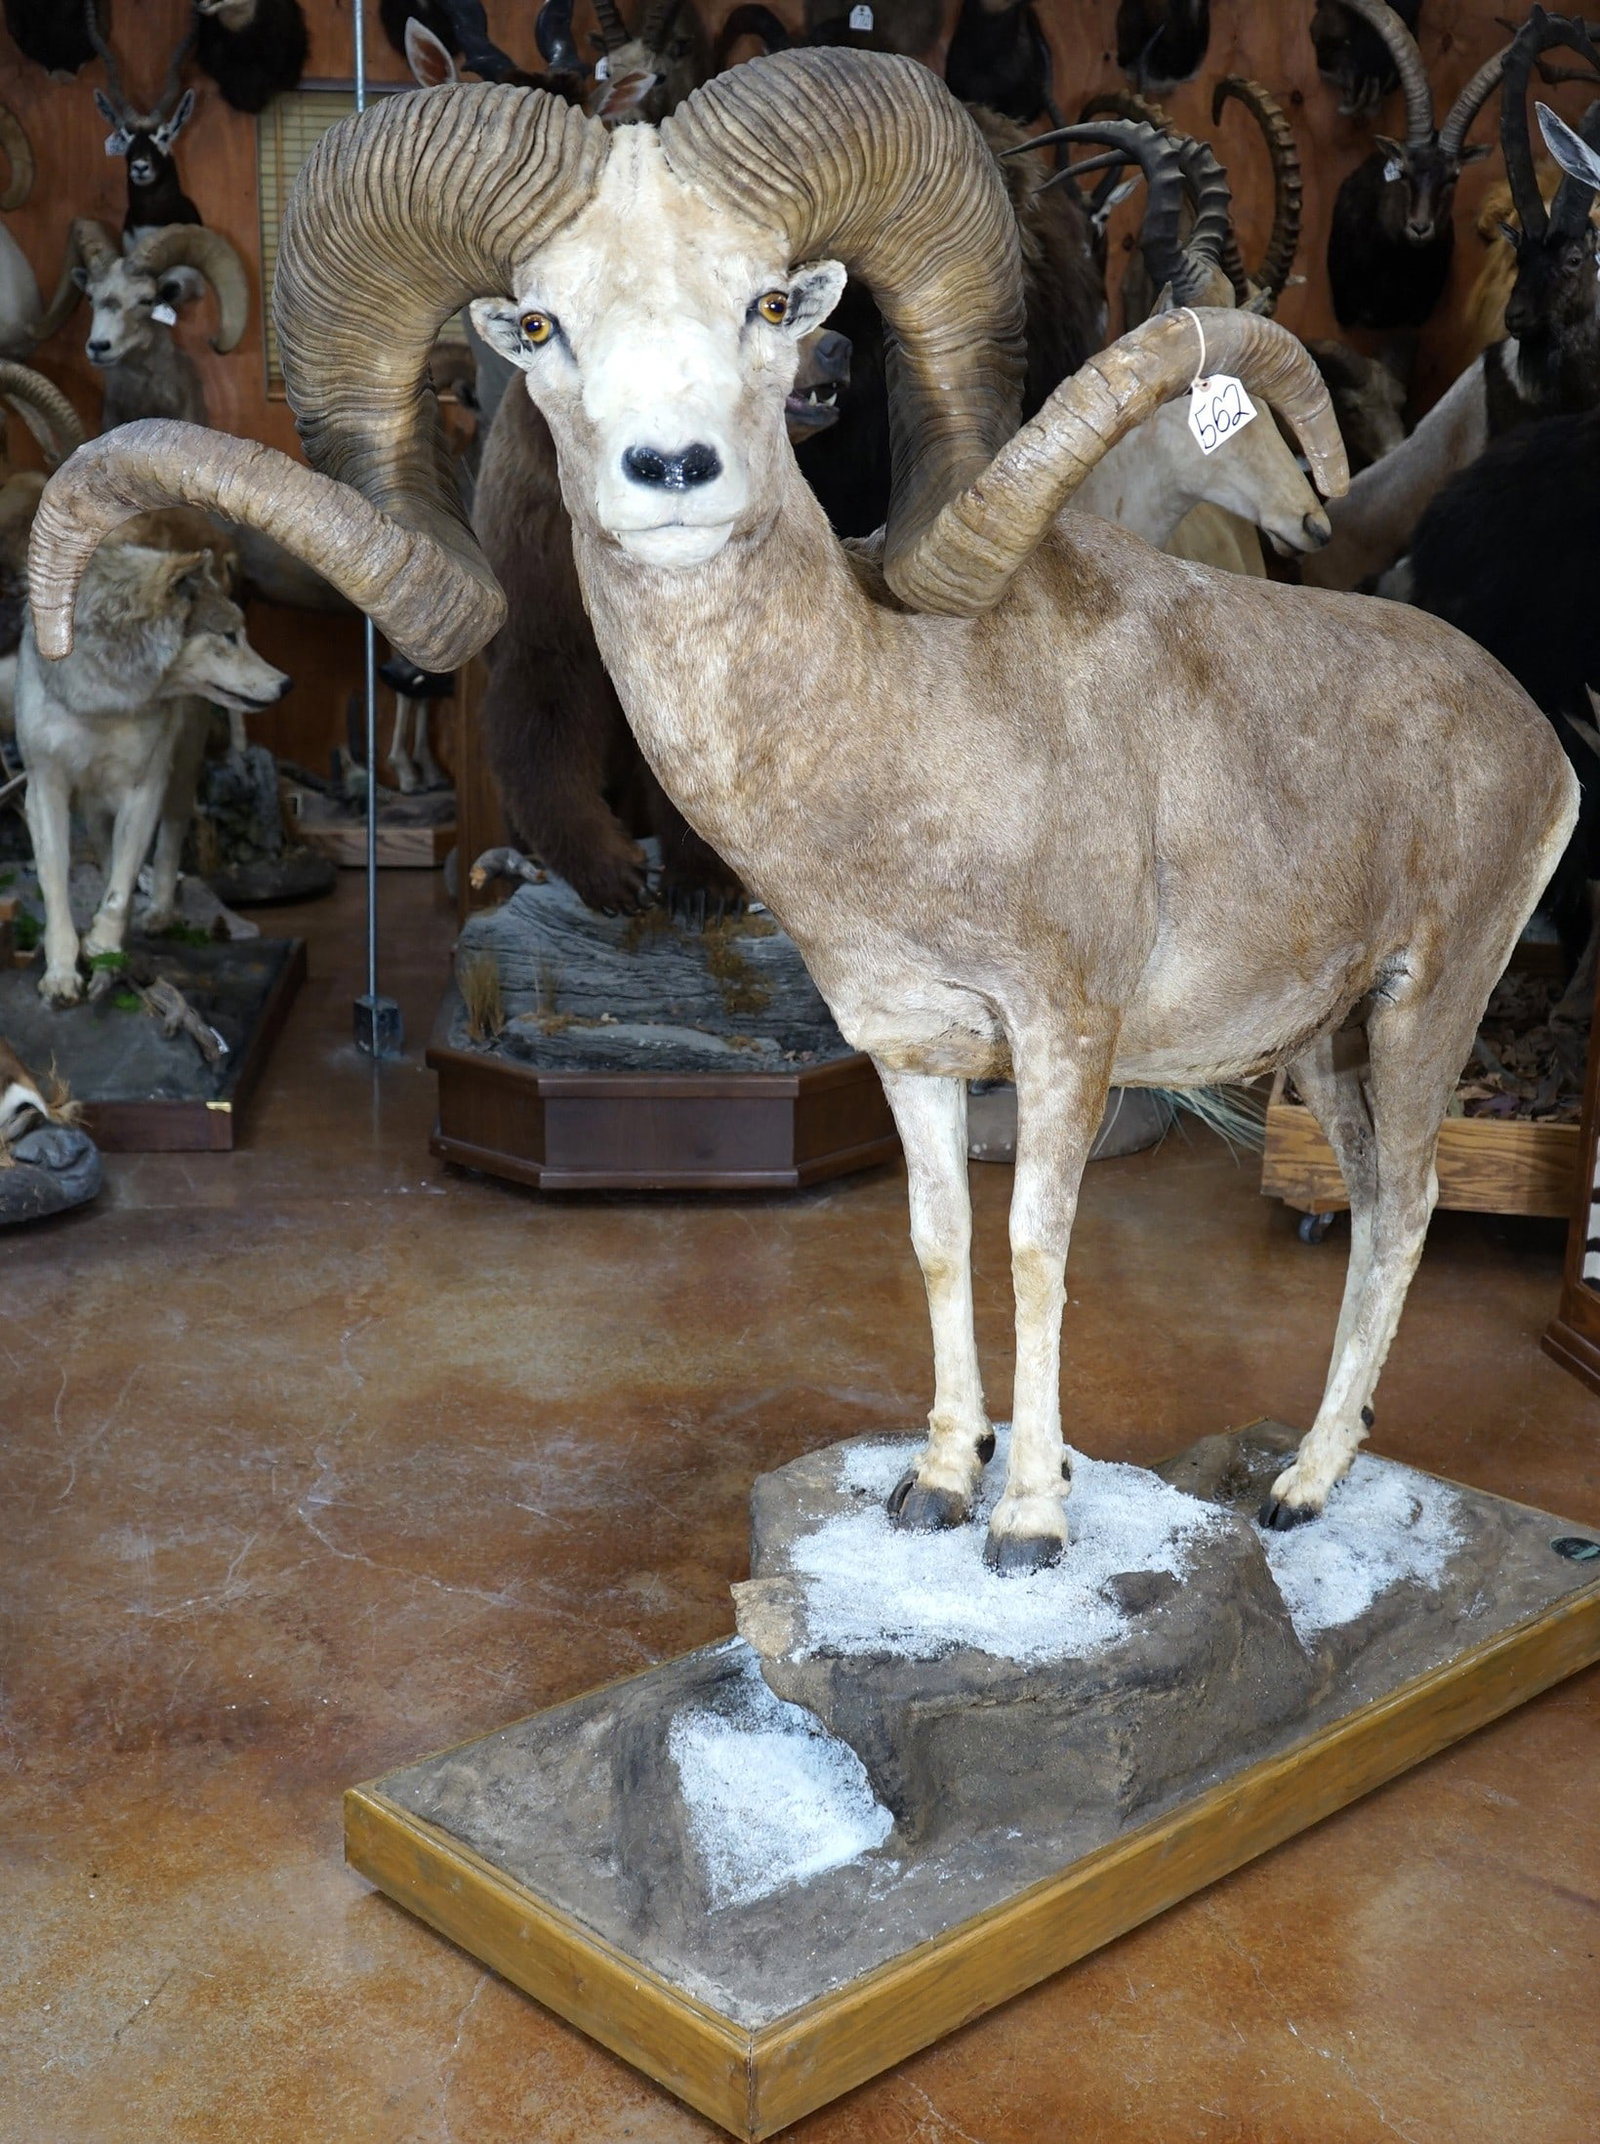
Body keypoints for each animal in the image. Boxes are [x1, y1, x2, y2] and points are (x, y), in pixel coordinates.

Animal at [33, 55, 1577, 1566]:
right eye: (540, 323)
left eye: (769, 304)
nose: (671, 473)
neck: (898, 727)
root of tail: (1533, 734)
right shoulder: (910, 1053)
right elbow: (942, 1242)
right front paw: (940, 1489)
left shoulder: (1066, 1044)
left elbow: (1037, 1248)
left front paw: (1030, 1524)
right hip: (1327, 1045)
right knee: (1369, 1201)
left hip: (1424, 1010)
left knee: (1405, 1209)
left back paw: (1304, 1491)